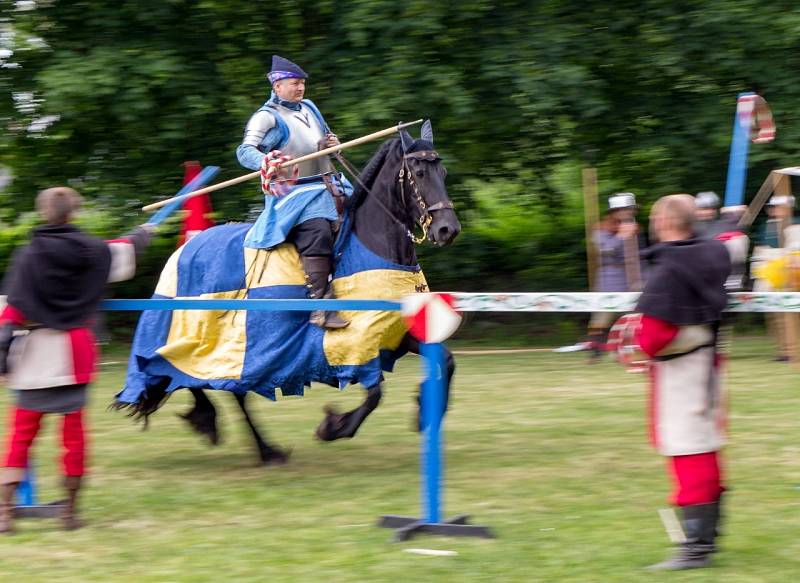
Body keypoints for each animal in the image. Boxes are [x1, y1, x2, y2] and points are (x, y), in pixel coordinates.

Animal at [115, 126, 460, 466]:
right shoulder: (357, 345)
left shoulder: (398, 331)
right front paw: (334, 427)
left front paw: (425, 410)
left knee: (203, 379)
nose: (448, 229)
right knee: (174, 368)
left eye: (442, 171)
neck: (370, 245)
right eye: (419, 172)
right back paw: (241, 436)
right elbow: (375, 393)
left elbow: (447, 361)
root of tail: (185, 249)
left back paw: (242, 437)